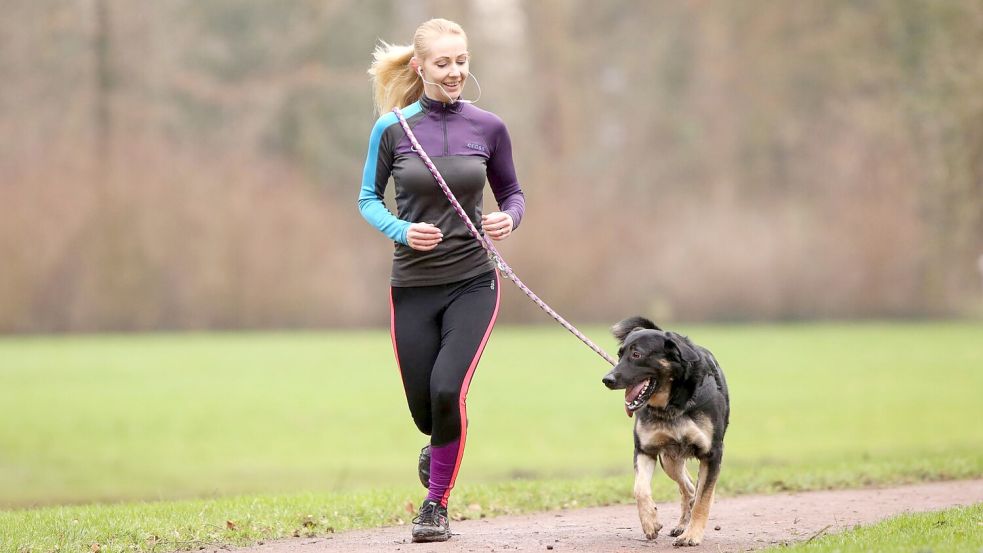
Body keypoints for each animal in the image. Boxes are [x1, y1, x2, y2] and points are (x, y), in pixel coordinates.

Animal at [600, 316, 732, 544]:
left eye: (636, 354)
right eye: (619, 355)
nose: (607, 380)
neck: (671, 405)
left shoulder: (712, 454)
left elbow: (703, 499)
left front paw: (692, 535)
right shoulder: (645, 450)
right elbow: (640, 489)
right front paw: (650, 522)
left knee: (696, 492)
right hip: (669, 460)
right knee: (688, 488)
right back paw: (681, 525)